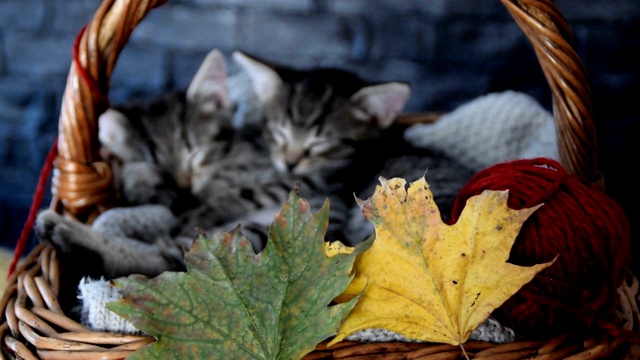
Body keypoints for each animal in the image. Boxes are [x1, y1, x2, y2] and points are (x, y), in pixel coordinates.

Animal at [35, 49, 412, 280]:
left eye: (319, 144)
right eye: (278, 132)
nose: (184, 191)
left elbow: (232, 194)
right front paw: (143, 180)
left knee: (170, 260)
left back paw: (68, 232)